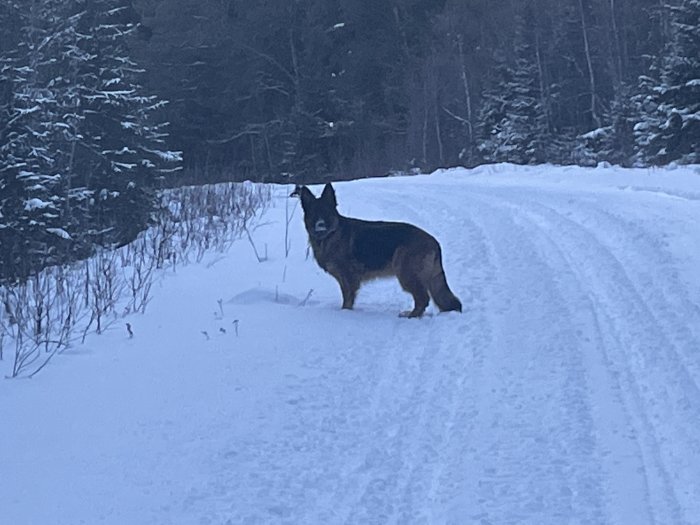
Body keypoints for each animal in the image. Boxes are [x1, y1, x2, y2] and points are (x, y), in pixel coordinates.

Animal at [292, 182, 462, 318]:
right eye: (314, 214)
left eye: (326, 213)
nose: (320, 226)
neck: (330, 235)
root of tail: (434, 241)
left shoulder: (348, 279)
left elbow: (347, 300)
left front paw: (345, 313)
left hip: (405, 274)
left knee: (422, 298)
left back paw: (412, 316)